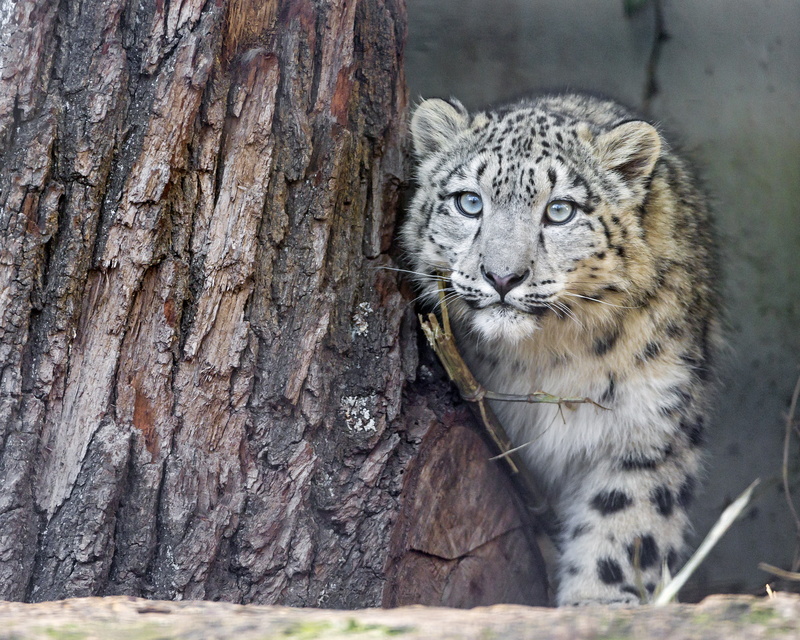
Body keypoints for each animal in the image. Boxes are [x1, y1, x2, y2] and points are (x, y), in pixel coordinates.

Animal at [400, 92, 721, 605]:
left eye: (560, 211)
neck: (546, 360)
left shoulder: (650, 422)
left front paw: (599, 603)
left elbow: (626, 521)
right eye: (470, 202)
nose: (502, 276)